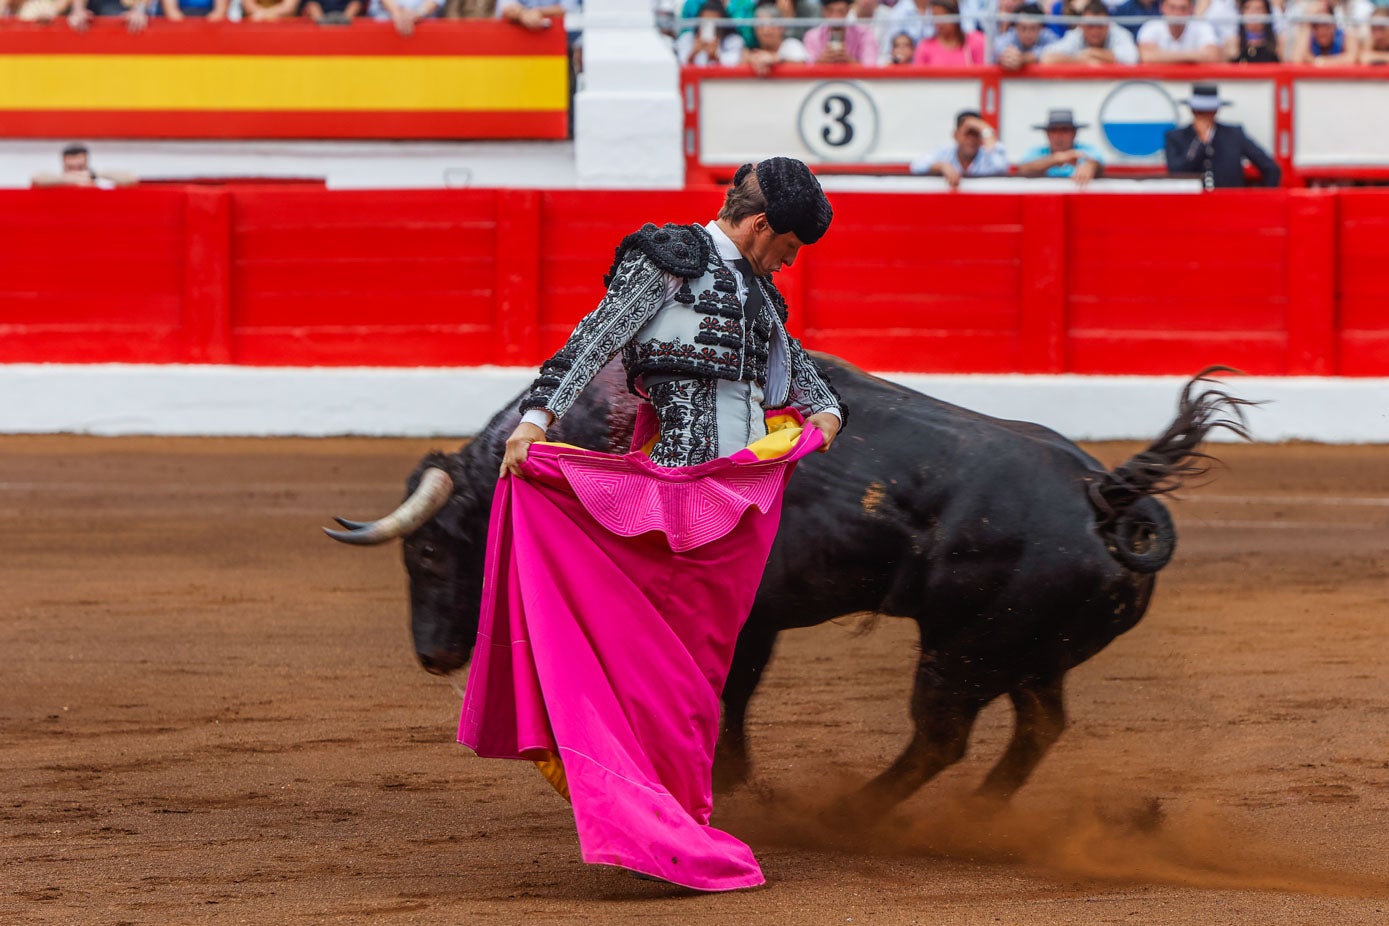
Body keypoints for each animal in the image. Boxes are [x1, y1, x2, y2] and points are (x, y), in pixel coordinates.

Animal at [327, 355, 1250, 816]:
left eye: (430, 554)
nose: (432, 655)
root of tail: (1108, 493)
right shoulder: (757, 619)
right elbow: (729, 692)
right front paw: (727, 781)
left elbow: (717, 690)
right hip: (1025, 650)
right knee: (1037, 726)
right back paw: (976, 813)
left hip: (961, 651)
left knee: (941, 735)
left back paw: (854, 816)